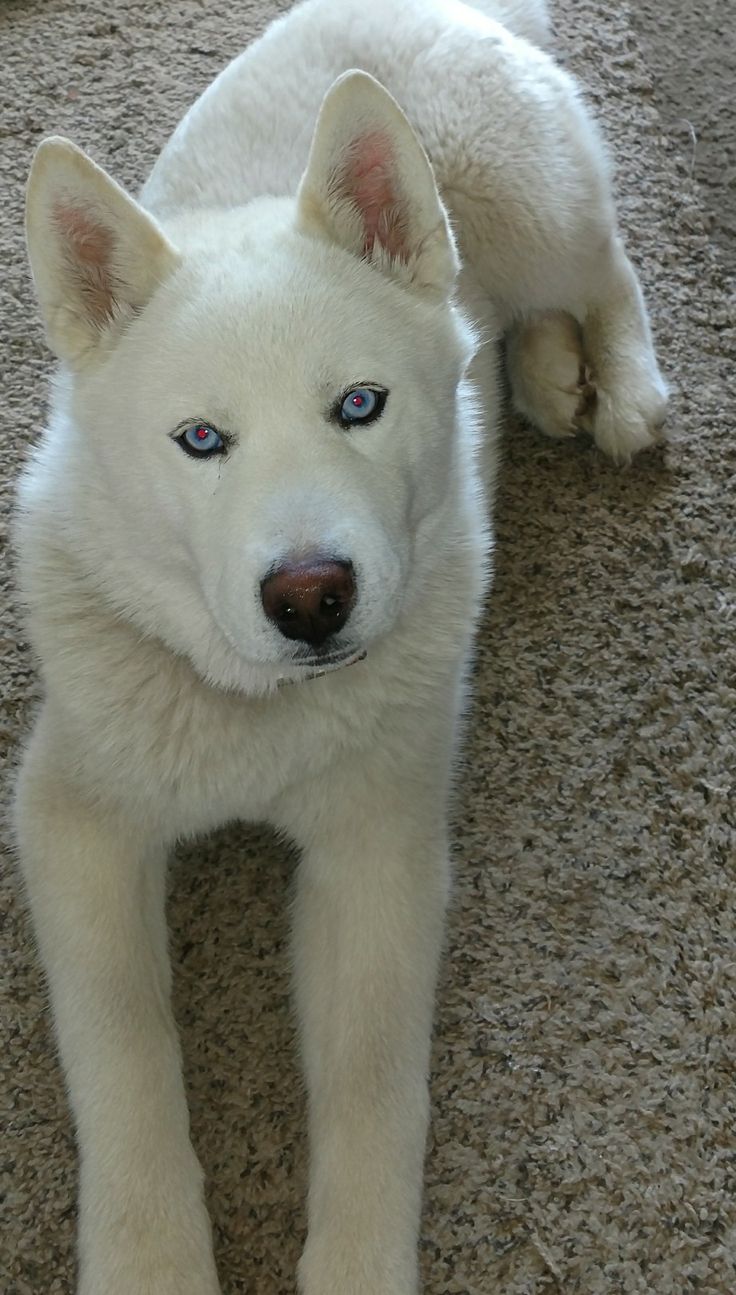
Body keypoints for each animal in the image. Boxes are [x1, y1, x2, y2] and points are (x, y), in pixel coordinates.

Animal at [12, 0, 668, 1289]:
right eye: (200, 439)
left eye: (359, 406)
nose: (310, 596)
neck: (254, 712)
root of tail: (450, 10)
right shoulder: (72, 819)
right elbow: (124, 1047)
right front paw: (150, 1253)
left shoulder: (377, 850)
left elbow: (371, 1084)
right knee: (498, 320)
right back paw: (542, 373)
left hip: (537, 208)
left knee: (606, 267)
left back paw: (618, 383)